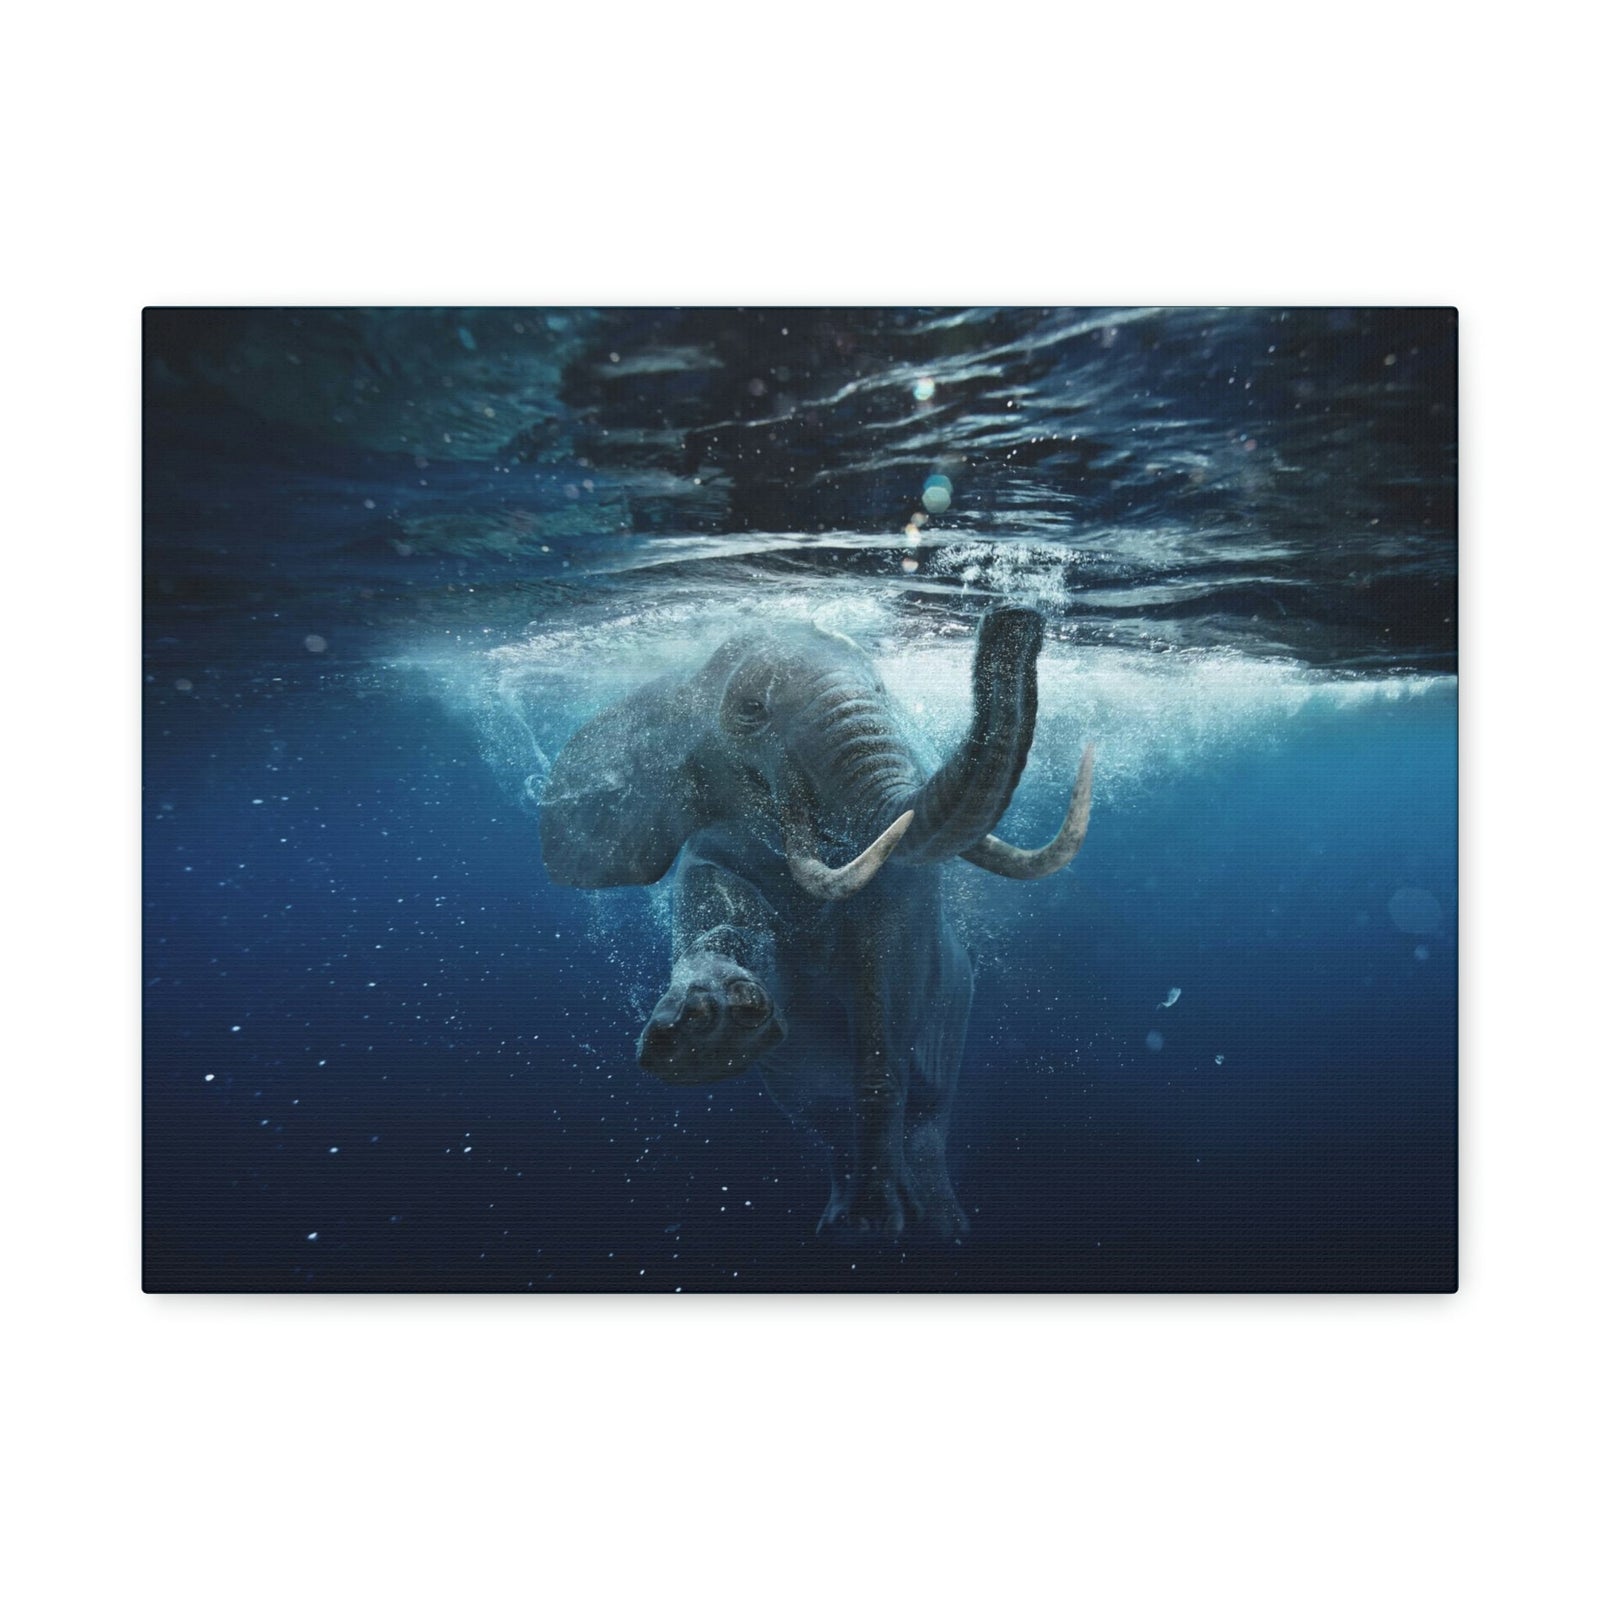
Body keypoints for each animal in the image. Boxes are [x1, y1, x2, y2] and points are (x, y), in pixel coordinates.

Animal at [538, 602, 1095, 1237]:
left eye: (880, 691)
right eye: (751, 710)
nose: (1015, 621)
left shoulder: (904, 909)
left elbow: (883, 1025)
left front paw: (877, 1225)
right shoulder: (711, 847)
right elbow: (712, 910)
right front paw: (706, 1031)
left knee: (928, 1111)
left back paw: (936, 1225)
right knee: (820, 1117)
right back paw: (838, 1222)